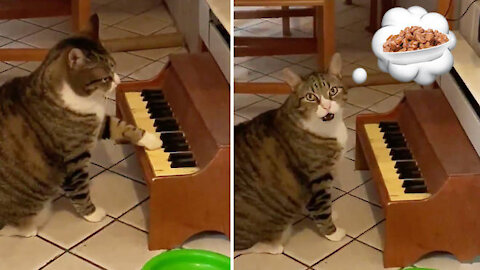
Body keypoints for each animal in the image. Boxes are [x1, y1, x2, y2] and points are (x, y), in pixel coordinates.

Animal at [0, 15, 161, 237]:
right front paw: (92, 214)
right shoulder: (73, 158)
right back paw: (28, 228)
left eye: (114, 66)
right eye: (105, 77)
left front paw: (152, 139)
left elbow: (121, 126)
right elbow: (80, 189)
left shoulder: (99, 122)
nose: (119, 81)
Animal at [234, 53, 346, 253]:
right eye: (310, 96)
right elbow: (322, 208)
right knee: (243, 246)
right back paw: (272, 245)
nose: (326, 106)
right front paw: (332, 233)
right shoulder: (317, 178)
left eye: (333, 91)